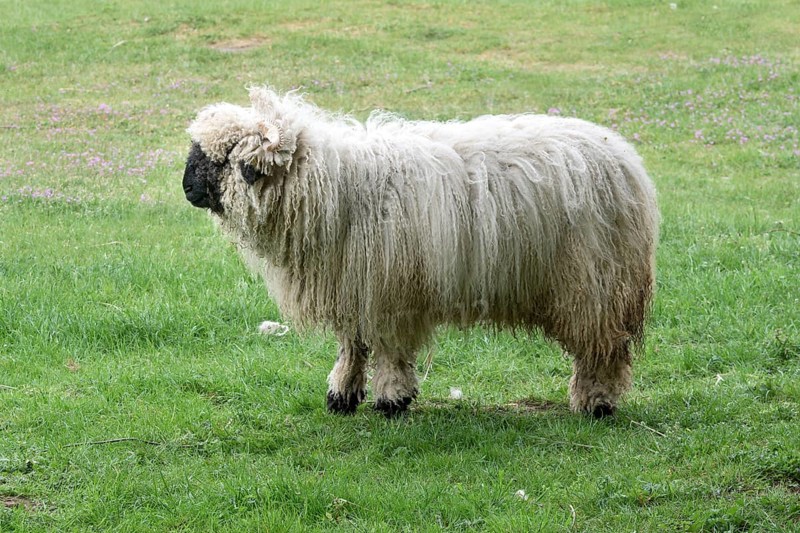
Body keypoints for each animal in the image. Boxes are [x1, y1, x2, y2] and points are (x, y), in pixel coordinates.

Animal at [182, 87, 659, 418]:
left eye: (224, 157)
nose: (186, 188)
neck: (334, 189)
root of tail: (627, 160)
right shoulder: (353, 286)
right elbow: (350, 345)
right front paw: (342, 393)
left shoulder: (391, 295)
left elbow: (391, 350)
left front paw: (392, 399)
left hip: (595, 283)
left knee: (602, 349)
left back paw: (597, 403)